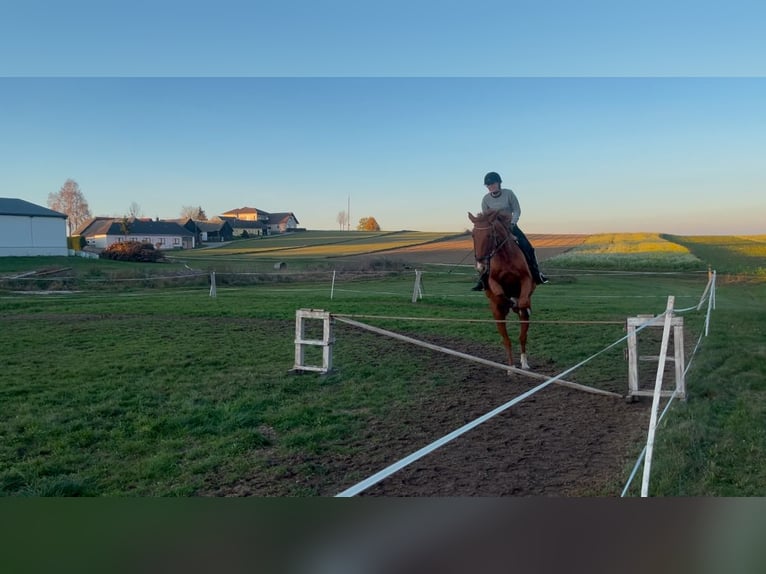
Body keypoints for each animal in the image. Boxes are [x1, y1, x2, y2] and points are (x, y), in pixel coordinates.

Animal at [468, 209, 536, 370]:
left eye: (489, 235)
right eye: (473, 235)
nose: (480, 266)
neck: (505, 256)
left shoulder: (526, 280)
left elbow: (523, 302)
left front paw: (518, 304)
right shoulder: (493, 281)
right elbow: (499, 293)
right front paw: (508, 301)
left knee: (522, 336)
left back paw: (524, 364)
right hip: (497, 317)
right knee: (506, 340)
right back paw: (510, 368)